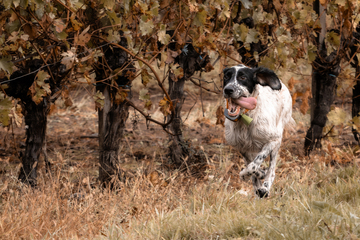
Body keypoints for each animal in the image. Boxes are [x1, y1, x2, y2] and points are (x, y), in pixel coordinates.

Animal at [222, 63, 296, 197]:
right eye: (226, 76)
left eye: (243, 77)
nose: (228, 90)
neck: (246, 119)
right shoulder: (243, 148)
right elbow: (253, 169)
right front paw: (258, 175)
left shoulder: (273, 140)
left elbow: (254, 165)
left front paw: (247, 175)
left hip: (277, 141)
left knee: (272, 170)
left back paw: (265, 187)